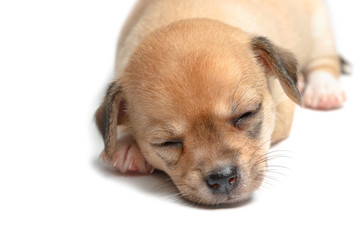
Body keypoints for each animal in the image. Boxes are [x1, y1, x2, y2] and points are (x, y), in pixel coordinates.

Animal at [95, 0, 346, 206]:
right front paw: (127, 145)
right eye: (166, 143)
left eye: (246, 114)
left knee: (324, 60)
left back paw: (323, 89)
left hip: (319, 29)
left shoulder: (283, 108)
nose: (223, 178)